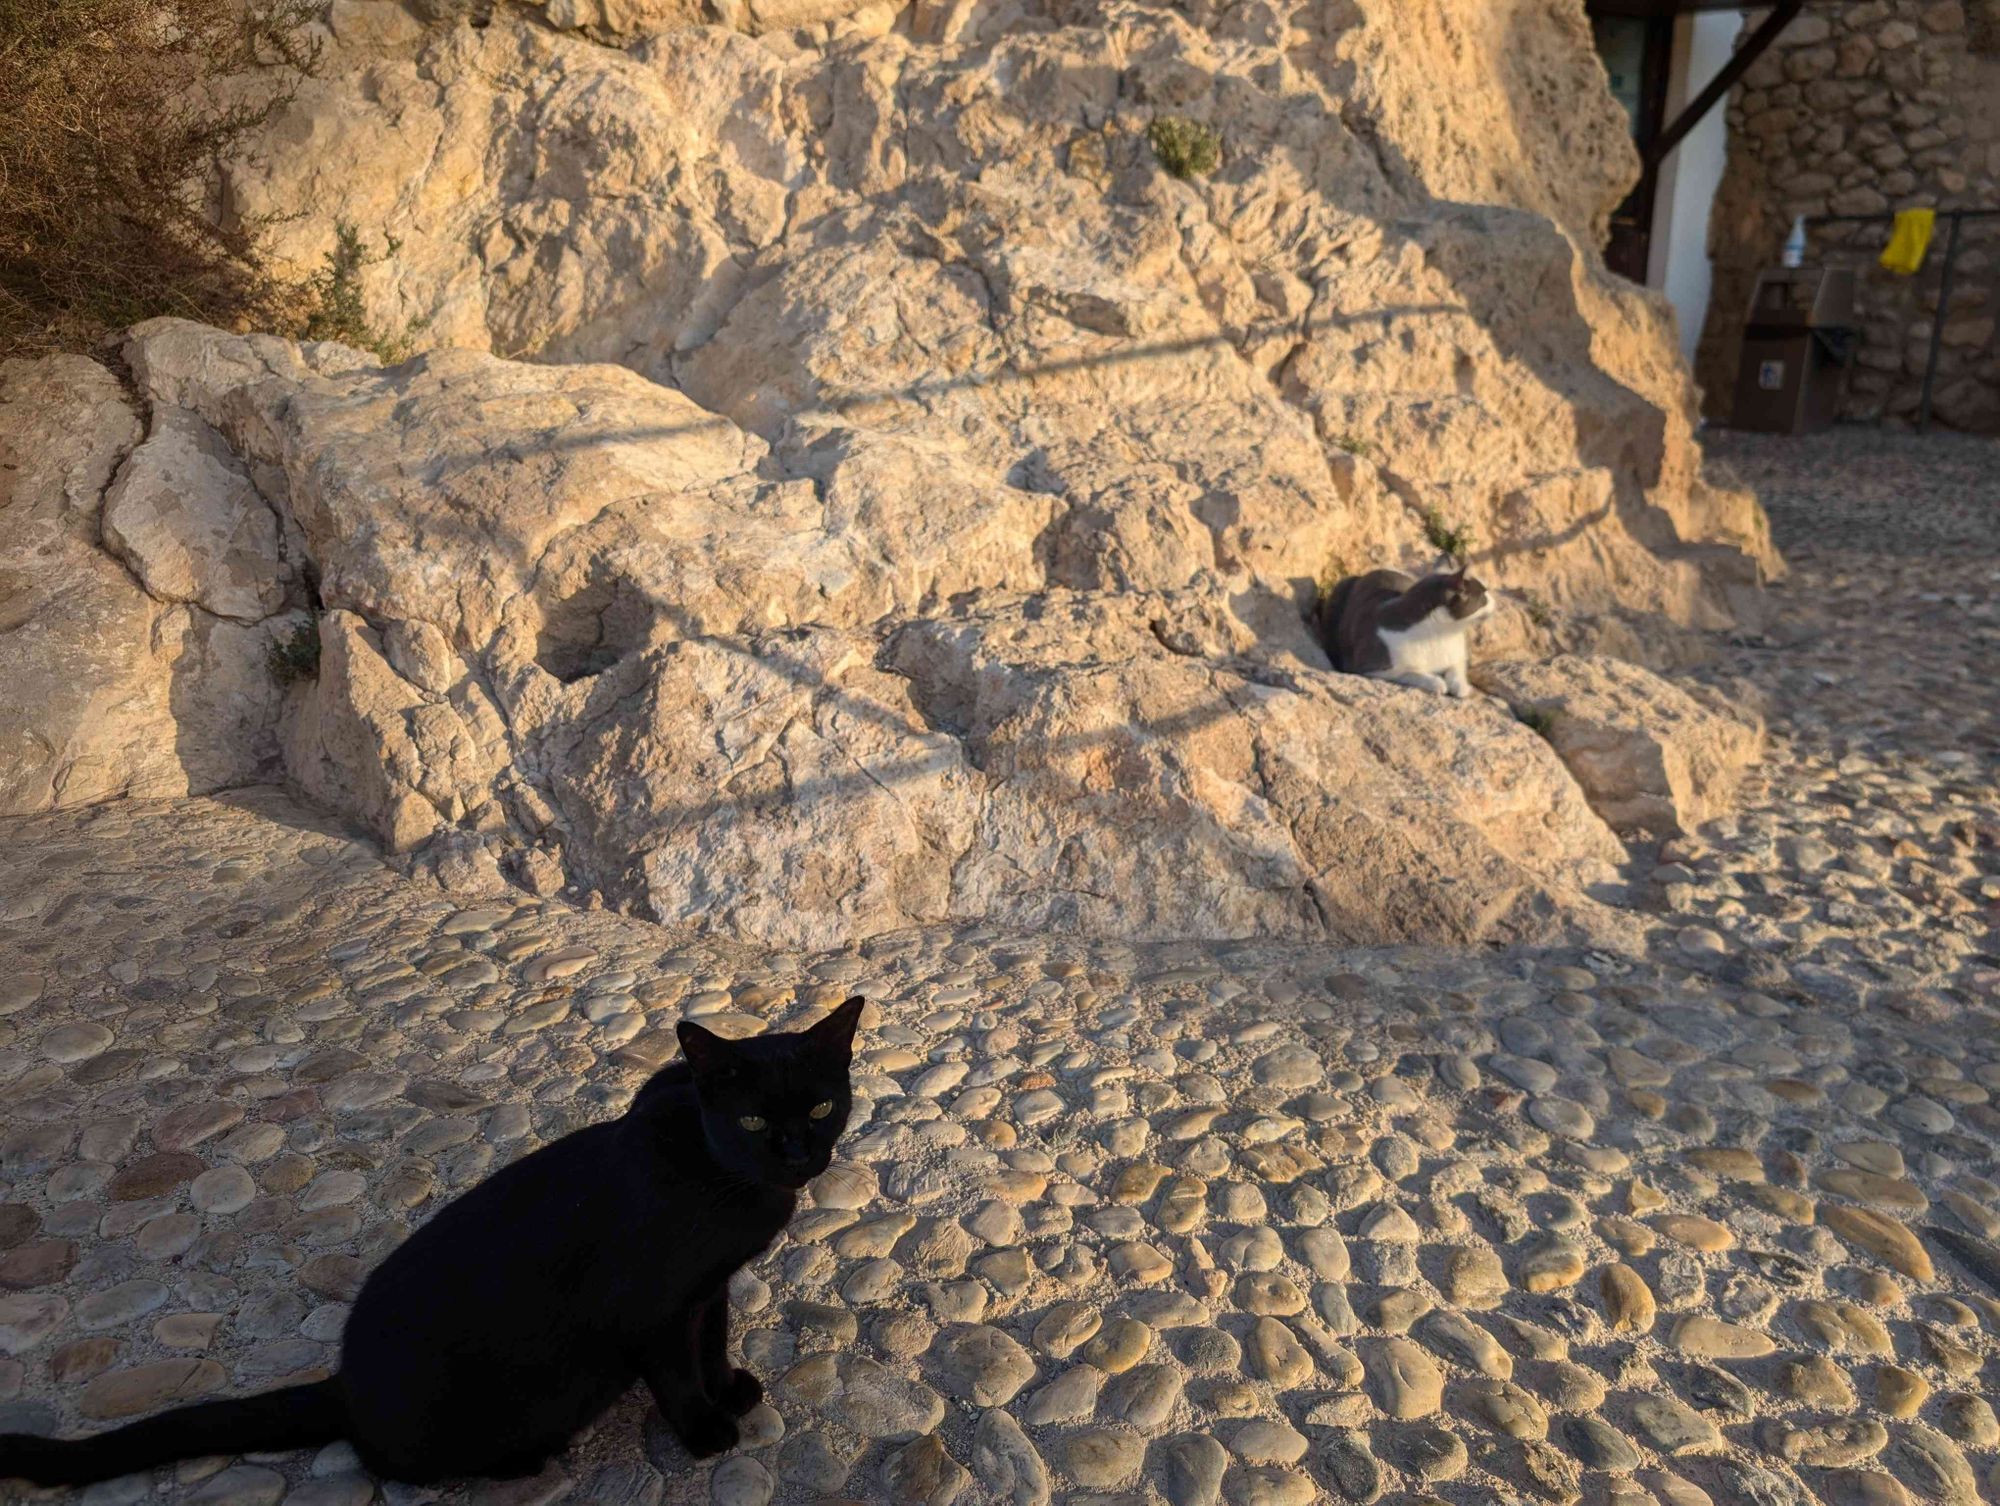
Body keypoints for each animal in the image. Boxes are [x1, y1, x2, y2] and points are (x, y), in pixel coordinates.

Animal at [0, 992, 864, 1488]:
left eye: (822, 1108)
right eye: (751, 1120)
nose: (799, 1155)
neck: (728, 1185)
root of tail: (344, 1387)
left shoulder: (708, 1291)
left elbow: (711, 1347)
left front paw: (731, 1389)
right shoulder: (654, 1310)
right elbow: (677, 1375)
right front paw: (706, 1431)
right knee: (386, 1464)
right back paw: (520, 1462)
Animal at [1320, 568, 1496, 700]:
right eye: (1484, 595)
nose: (1495, 601)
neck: (1442, 633)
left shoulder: (1457, 654)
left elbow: (1457, 668)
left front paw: (1461, 687)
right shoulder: (1368, 665)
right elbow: (1409, 672)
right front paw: (1436, 682)